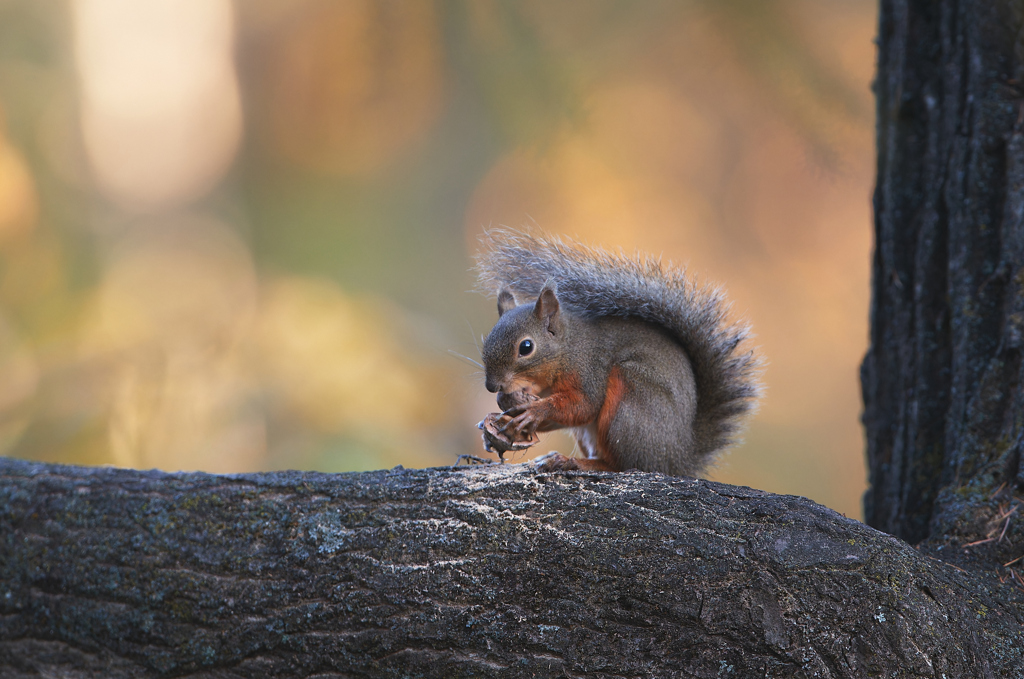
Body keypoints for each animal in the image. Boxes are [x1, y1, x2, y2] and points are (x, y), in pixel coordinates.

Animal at [477, 231, 761, 475]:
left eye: (526, 347)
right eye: (487, 340)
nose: (492, 386)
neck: (568, 350)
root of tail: (677, 460)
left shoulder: (589, 370)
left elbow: (583, 406)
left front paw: (536, 411)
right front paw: (506, 408)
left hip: (630, 404)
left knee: (624, 465)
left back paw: (576, 463)